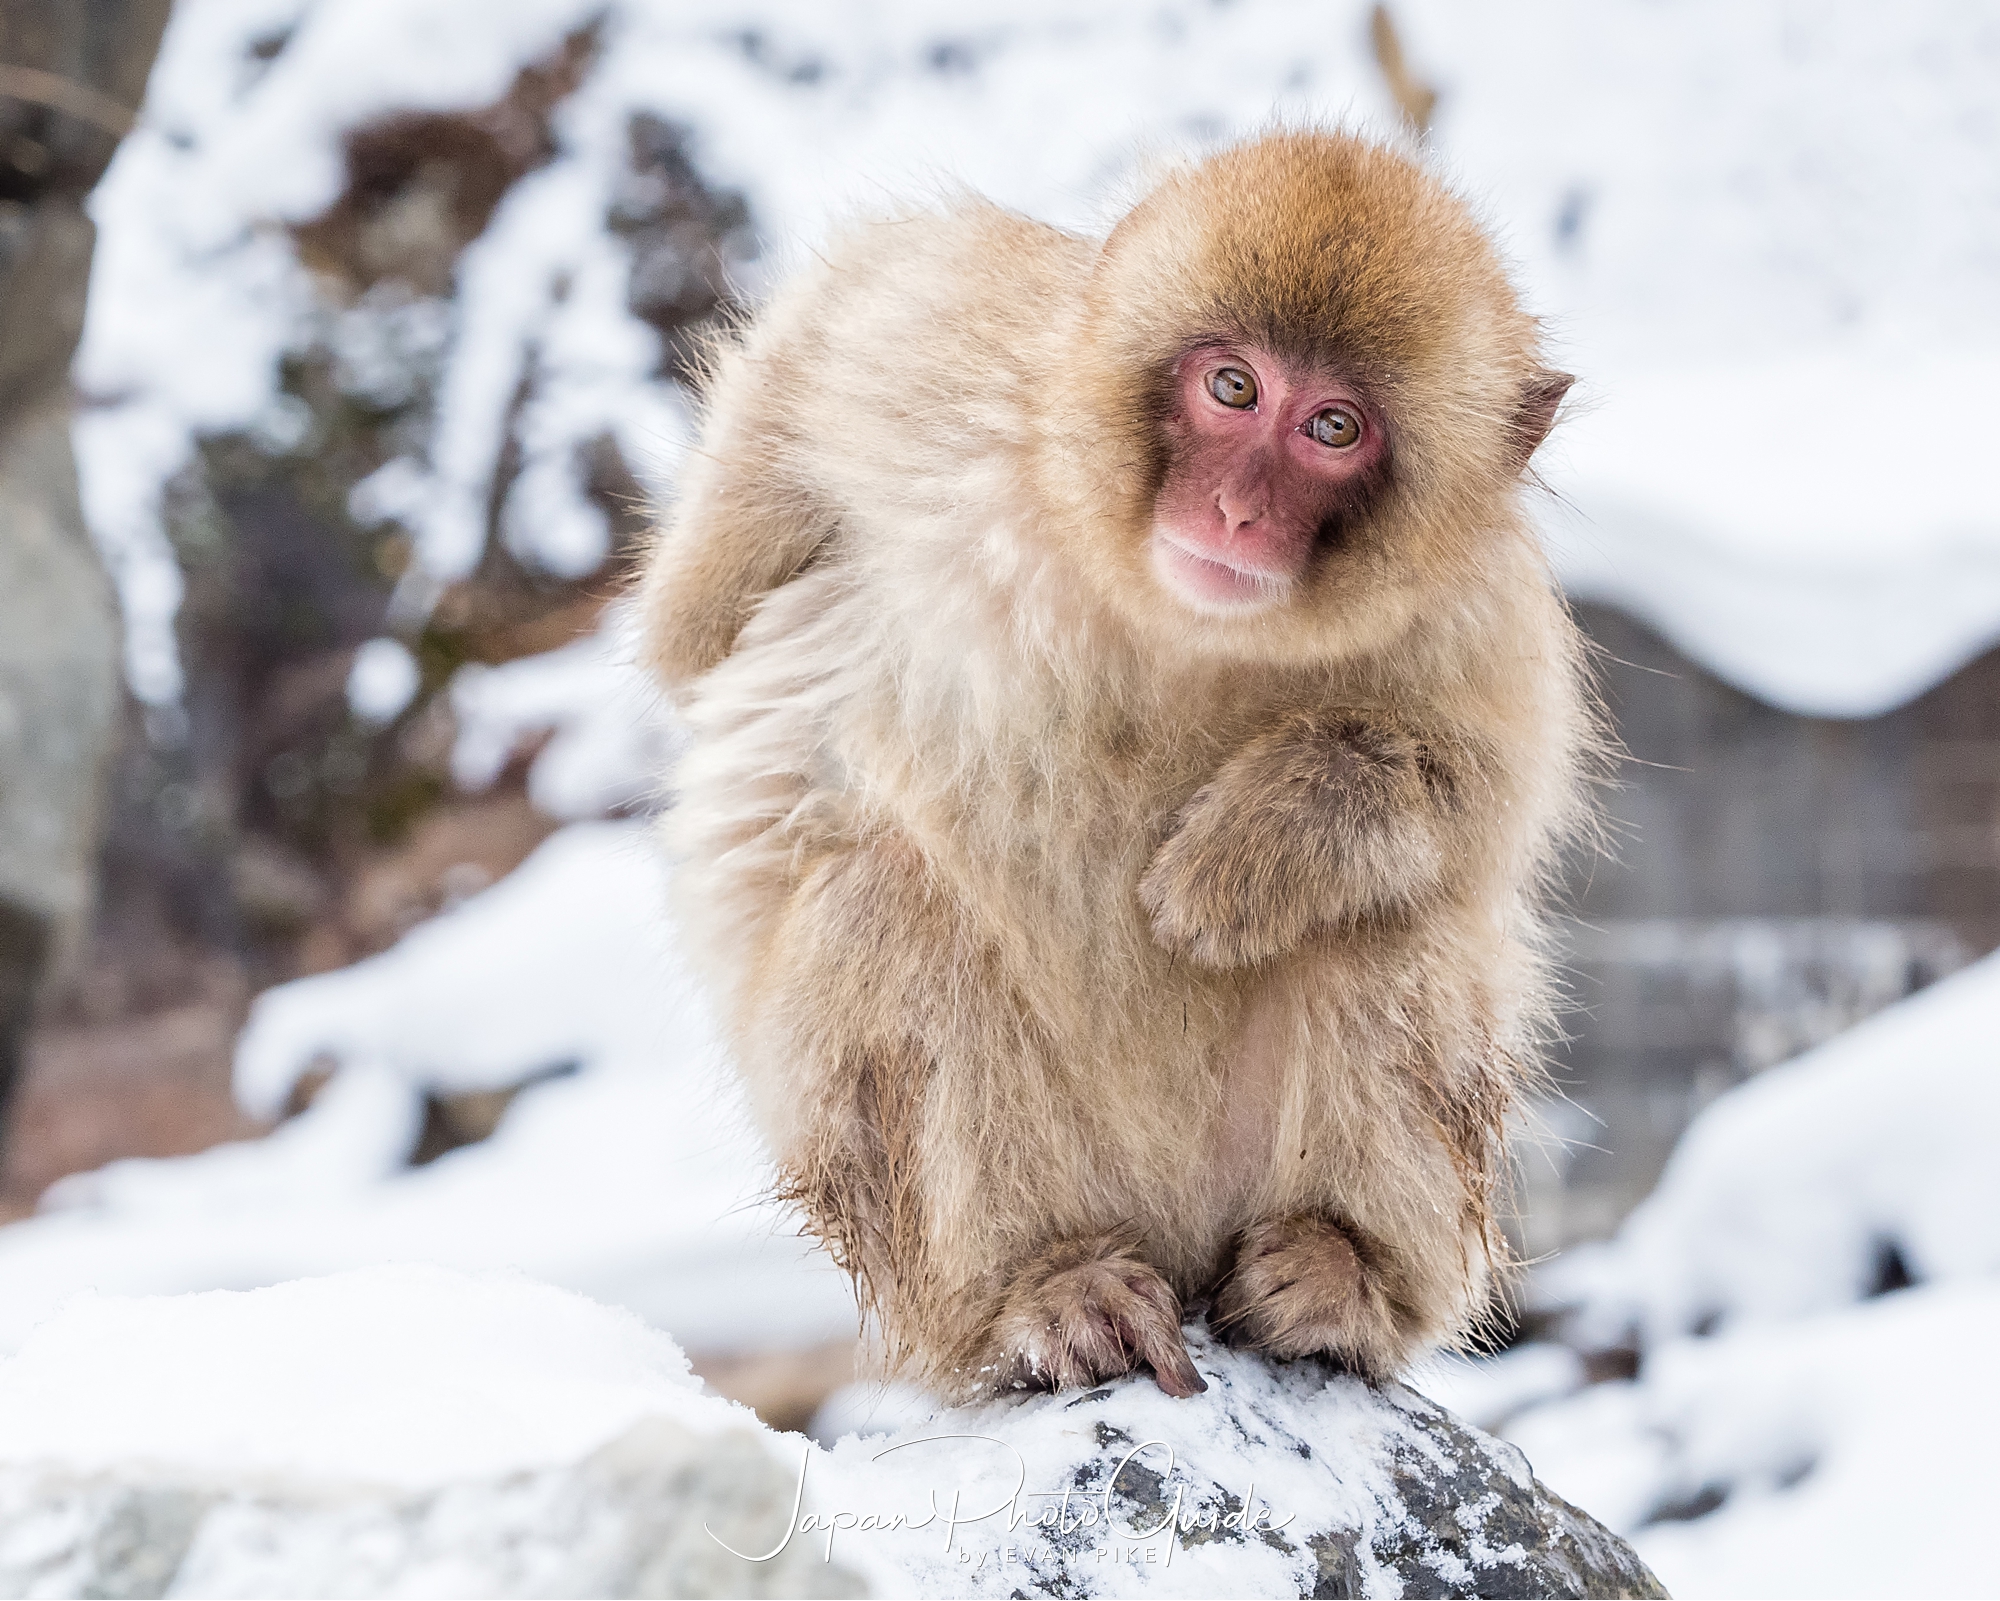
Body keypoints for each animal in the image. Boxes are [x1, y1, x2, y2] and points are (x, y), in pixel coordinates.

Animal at [640, 128, 1592, 1400]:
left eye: (1332, 428)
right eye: (1231, 387)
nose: (1235, 511)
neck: (1156, 602)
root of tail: (1176, 1249)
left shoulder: (1478, 605)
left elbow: (1486, 797)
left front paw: (1258, 845)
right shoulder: (930, 342)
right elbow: (691, 625)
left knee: (1385, 912)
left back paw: (1341, 1271)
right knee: (881, 900)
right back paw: (1038, 1287)